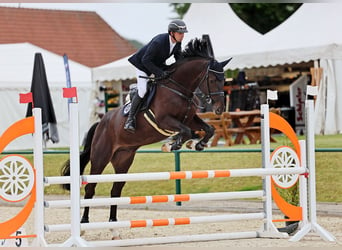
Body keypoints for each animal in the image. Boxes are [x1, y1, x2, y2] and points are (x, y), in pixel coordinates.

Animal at [62, 38, 230, 238]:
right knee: (90, 188)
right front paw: (173, 145)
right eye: (212, 79)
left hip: (123, 159)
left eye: (224, 79)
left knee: (116, 190)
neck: (178, 88)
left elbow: (208, 129)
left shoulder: (190, 119)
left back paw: (114, 227)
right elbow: (186, 131)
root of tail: (101, 123)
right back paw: (84, 224)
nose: (219, 109)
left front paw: (196, 144)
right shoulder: (165, 120)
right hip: (100, 157)